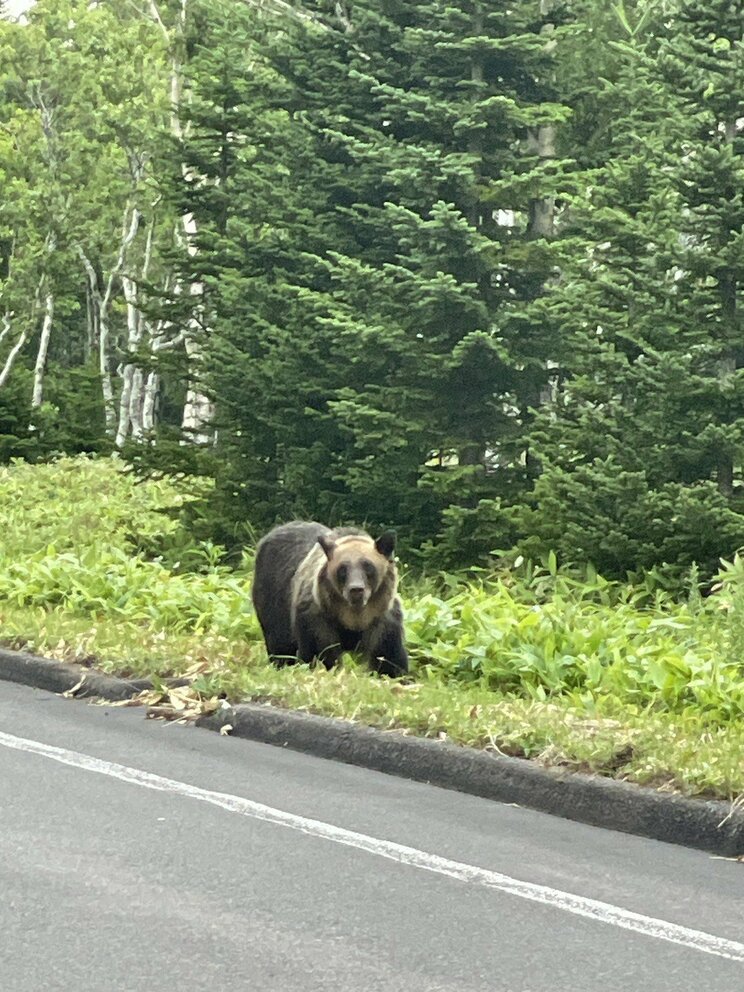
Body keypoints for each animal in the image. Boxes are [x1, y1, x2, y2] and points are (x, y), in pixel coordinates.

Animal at [253, 524, 410, 680]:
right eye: (342, 568)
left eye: (368, 566)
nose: (356, 589)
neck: (353, 618)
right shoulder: (318, 619)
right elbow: (321, 655)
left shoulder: (382, 621)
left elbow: (388, 659)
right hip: (273, 600)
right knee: (281, 645)